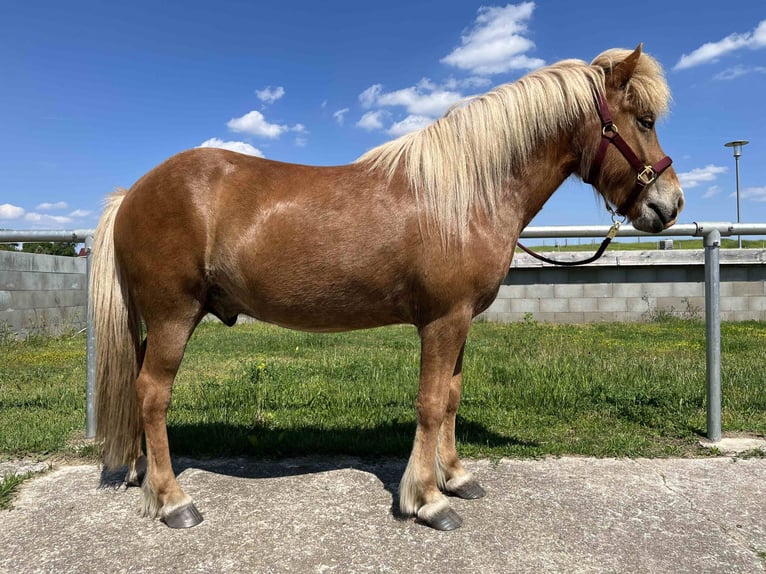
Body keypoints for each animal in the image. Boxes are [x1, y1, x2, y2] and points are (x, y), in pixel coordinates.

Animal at [90, 44, 684, 531]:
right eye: (645, 120)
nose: (670, 205)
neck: (466, 194)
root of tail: (134, 192)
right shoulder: (443, 320)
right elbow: (429, 402)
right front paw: (427, 500)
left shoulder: (461, 321)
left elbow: (451, 397)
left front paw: (456, 477)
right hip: (174, 314)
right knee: (153, 394)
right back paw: (173, 501)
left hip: (157, 320)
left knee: (140, 386)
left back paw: (144, 475)